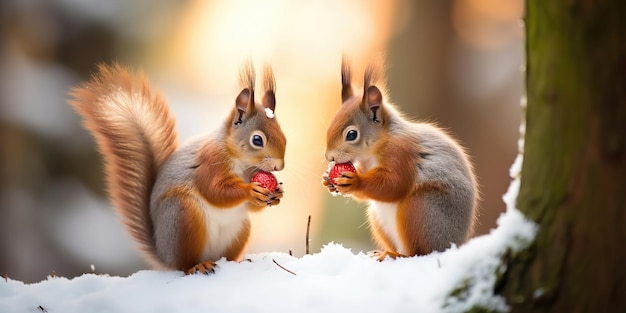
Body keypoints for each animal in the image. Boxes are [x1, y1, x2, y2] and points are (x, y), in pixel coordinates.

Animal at [69, 62, 284, 272]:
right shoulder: (210, 163)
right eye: (257, 140)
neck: (244, 165)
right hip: (183, 217)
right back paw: (198, 266)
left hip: (239, 230)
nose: (279, 166)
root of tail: (164, 256)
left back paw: (235, 263)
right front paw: (250, 190)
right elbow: (215, 191)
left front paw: (277, 194)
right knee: (183, 265)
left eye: (283, 135)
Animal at [322, 57, 478, 260]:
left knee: (419, 253)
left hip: (421, 209)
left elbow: (394, 184)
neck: (374, 151)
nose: (329, 156)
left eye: (351, 134)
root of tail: (454, 245)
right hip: (379, 217)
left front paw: (356, 182)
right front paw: (328, 180)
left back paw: (395, 255)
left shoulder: (401, 154)